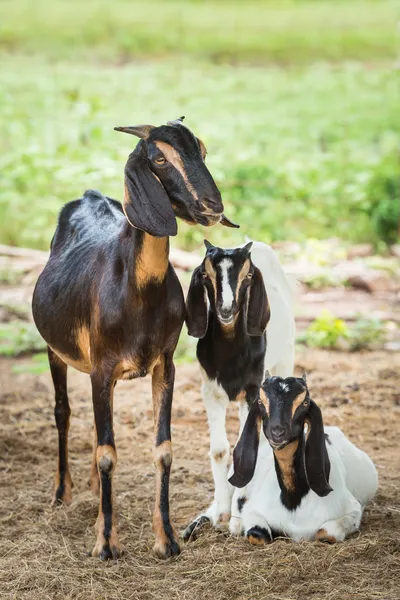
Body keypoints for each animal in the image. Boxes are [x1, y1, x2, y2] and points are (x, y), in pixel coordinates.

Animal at [183, 239, 296, 540]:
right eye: (205, 274)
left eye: (248, 275)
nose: (226, 309)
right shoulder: (210, 391)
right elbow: (220, 450)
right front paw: (221, 512)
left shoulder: (252, 391)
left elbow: (246, 446)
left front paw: (236, 519)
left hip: (285, 358)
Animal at [228, 376, 378, 544]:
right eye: (260, 401)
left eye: (305, 403)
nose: (277, 433)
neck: (294, 500)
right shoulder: (252, 511)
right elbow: (257, 535)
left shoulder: (352, 511)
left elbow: (326, 532)